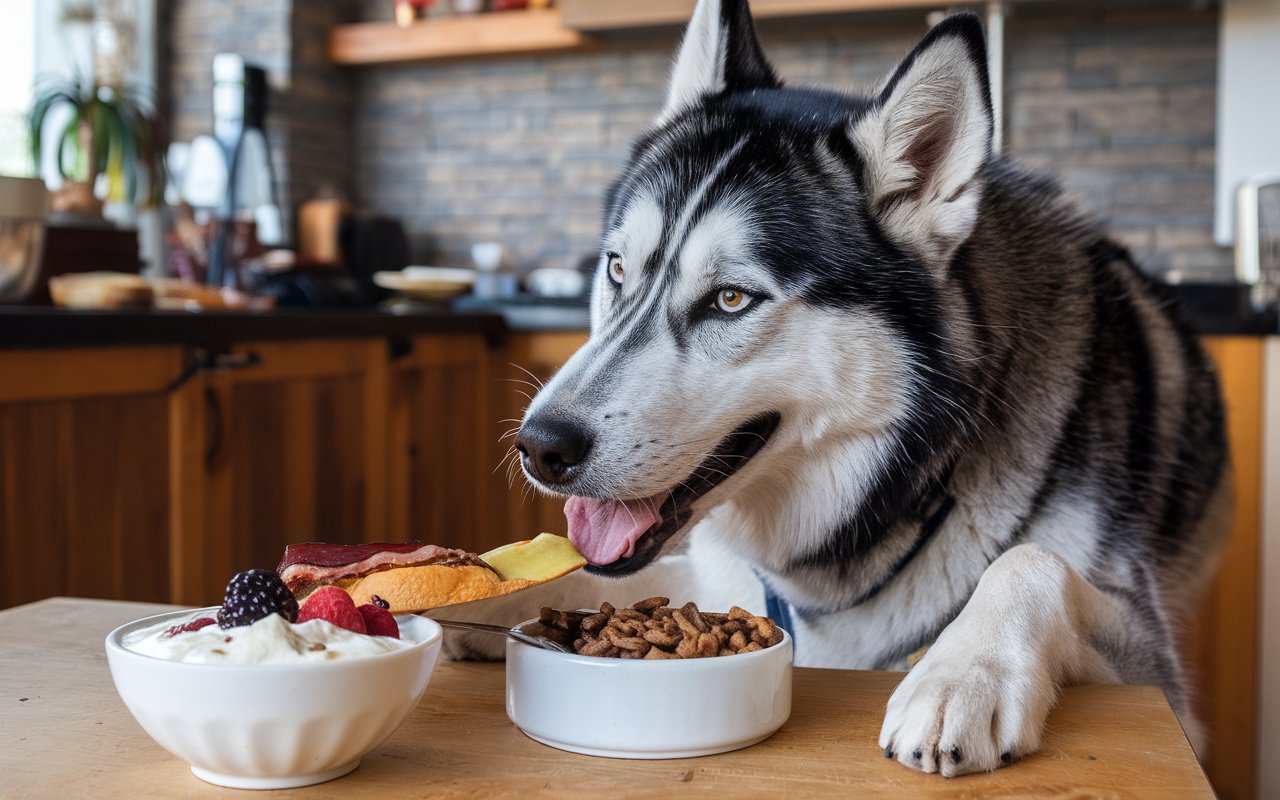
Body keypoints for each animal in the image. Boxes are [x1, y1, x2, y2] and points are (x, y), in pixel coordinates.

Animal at [468, 0, 1228, 773]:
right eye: (618, 268)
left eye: (732, 299)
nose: (540, 447)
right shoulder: (715, 580)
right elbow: (583, 578)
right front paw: (480, 594)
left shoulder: (1161, 675)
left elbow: (1031, 561)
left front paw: (963, 673)